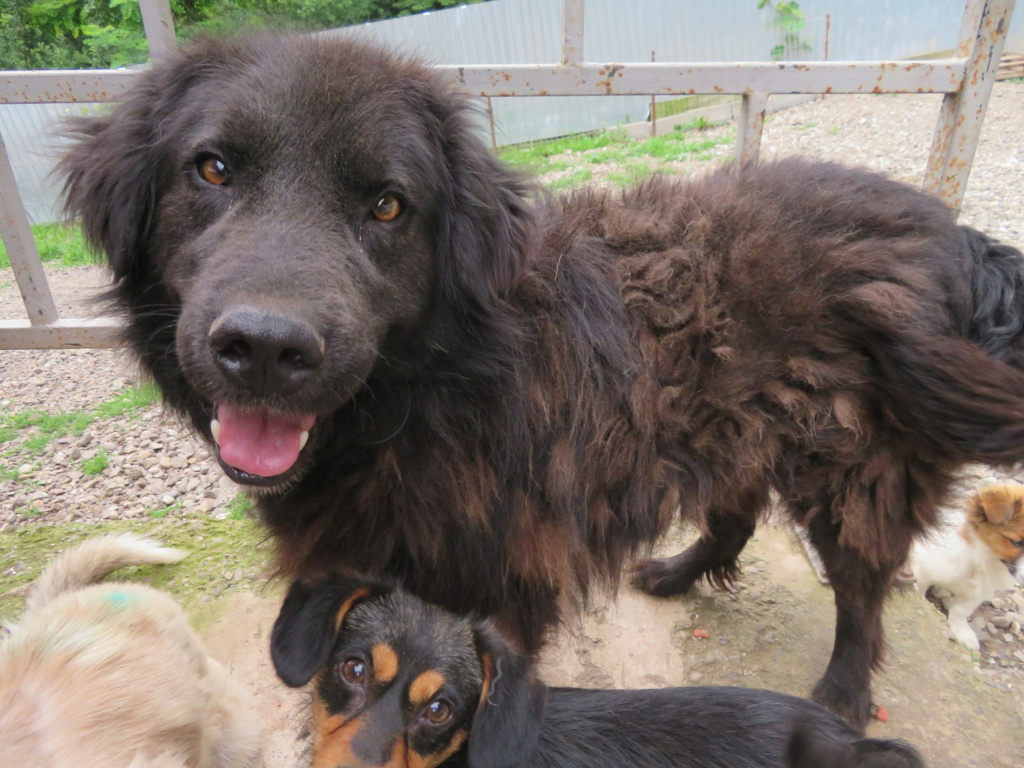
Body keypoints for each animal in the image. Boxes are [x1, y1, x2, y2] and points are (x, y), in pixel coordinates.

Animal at [913, 487, 1024, 651]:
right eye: (1016, 542)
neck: (982, 555)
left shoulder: (981, 589)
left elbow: (962, 609)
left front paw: (961, 632)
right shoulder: (922, 569)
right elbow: (919, 593)